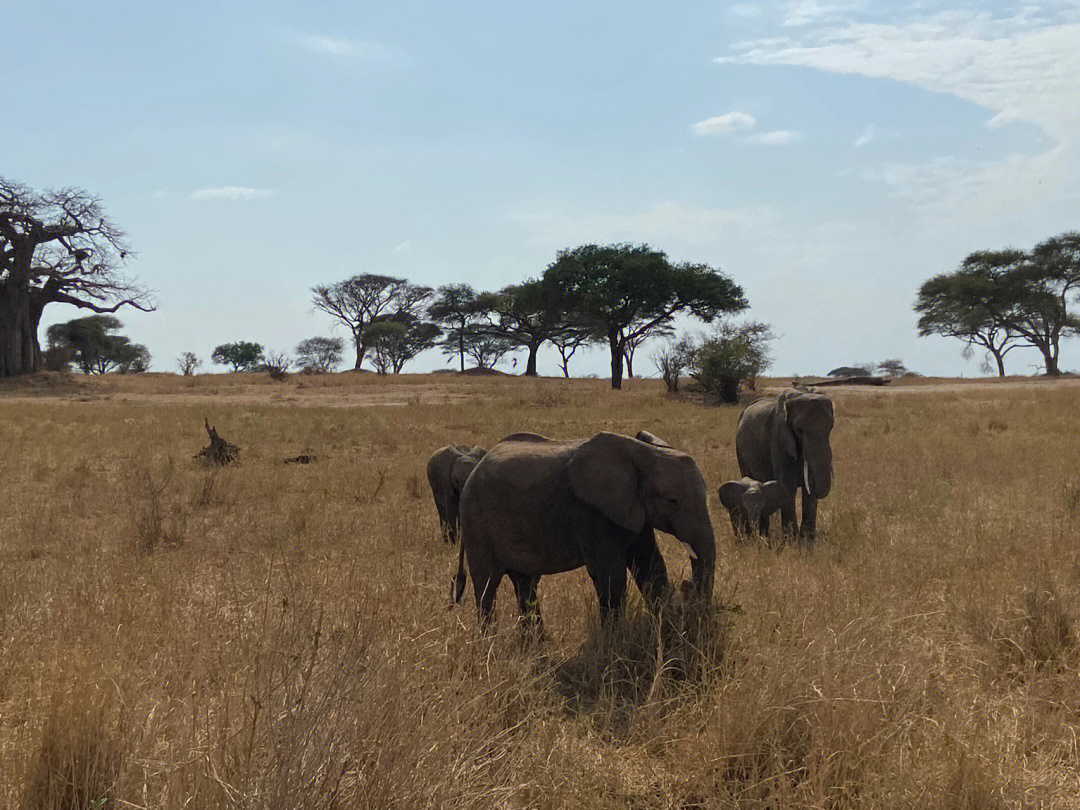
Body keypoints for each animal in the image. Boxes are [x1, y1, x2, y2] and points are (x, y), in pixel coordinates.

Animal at [455, 432, 717, 635]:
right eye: (673, 501)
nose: (687, 587)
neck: (643, 452)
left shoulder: (633, 510)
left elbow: (649, 565)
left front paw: (665, 625)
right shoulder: (590, 512)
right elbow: (609, 575)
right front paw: (614, 640)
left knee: (525, 583)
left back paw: (538, 645)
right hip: (475, 523)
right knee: (487, 586)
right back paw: (490, 644)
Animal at [734, 390, 833, 542]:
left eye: (830, 428)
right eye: (799, 429)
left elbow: (808, 491)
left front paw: (807, 540)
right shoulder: (778, 439)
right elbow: (787, 486)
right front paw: (792, 541)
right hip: (739, 447)